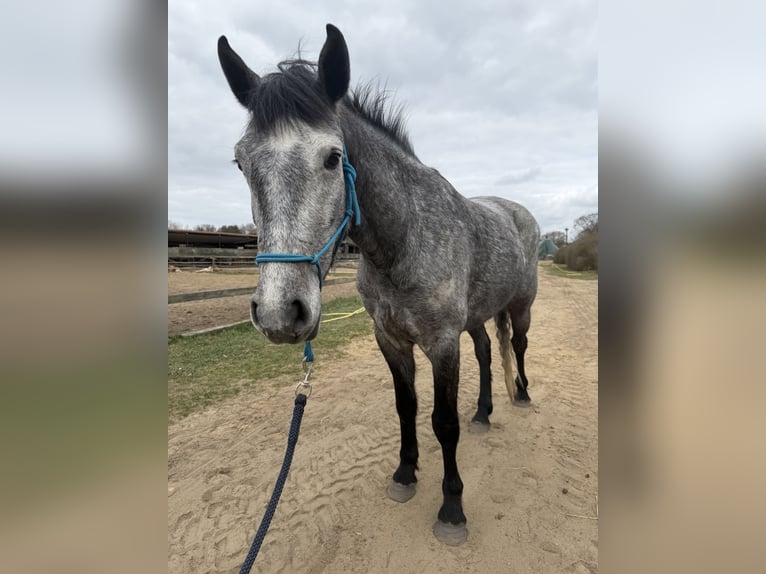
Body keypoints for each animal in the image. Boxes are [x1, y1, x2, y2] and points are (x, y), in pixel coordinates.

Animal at [217, 24, 540, 545]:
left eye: (333, 158)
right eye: (241, 163)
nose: (279, 313)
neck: (405, 238)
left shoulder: (441, 342)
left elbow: (442, 422)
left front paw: (452, 509)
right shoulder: (389, 338)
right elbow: (405, 407)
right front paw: (405, 475)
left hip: (522, 307)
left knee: (520, 347)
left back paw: (523, 396)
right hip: (476, 320)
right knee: (489, 353)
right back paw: (484, 413)